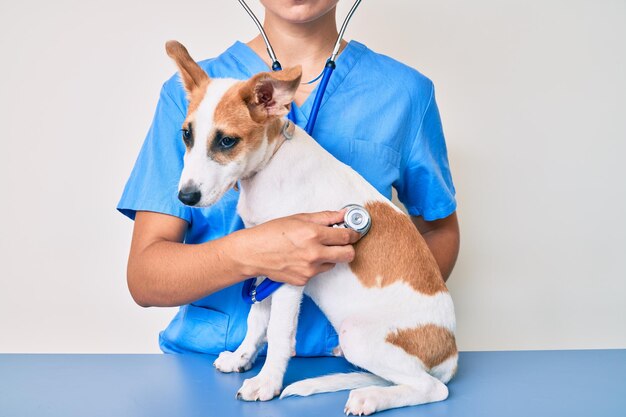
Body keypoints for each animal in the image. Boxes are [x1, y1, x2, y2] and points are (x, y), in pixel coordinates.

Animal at [165, 40, 458, 414]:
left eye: (227, 141)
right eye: (186, 135)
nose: (185, 197)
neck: (271, 163)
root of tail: (450, 353)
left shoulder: (291, 275)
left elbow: (278, 333)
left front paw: (266, 383)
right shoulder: (266, 262)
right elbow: (256, 320)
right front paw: (242, 358)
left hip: (358, 337)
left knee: (433, 388)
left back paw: (370, 397)